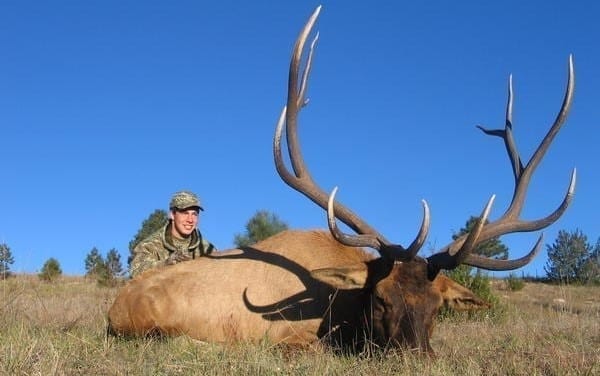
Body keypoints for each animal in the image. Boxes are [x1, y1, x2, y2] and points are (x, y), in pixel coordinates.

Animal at [108, 4, 576, 354]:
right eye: (381, 299)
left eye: (438, 307)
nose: (416, 356)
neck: (343, 306)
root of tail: (114, 306)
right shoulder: (289, 339)